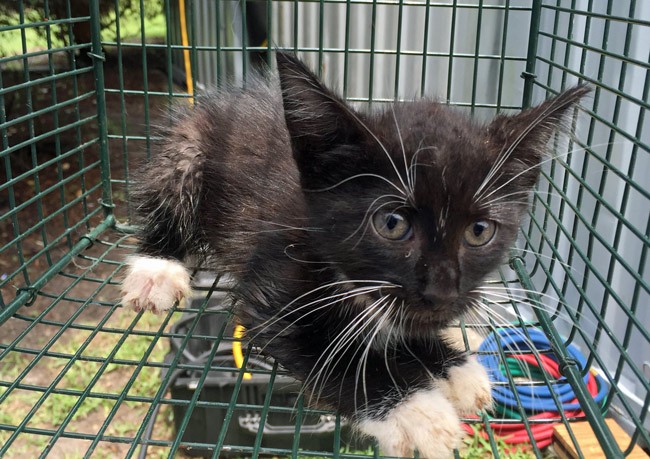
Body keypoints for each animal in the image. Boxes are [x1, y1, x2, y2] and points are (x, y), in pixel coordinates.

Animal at [119, 52, 584, 458]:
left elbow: (401, 329)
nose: (442, 291)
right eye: (392, 224)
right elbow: (325, 350)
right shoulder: (271, 287)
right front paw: (415, 412)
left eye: (480, 231)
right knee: (167, 195)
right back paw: (156, 270)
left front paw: (451, 365)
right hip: (186, 149)